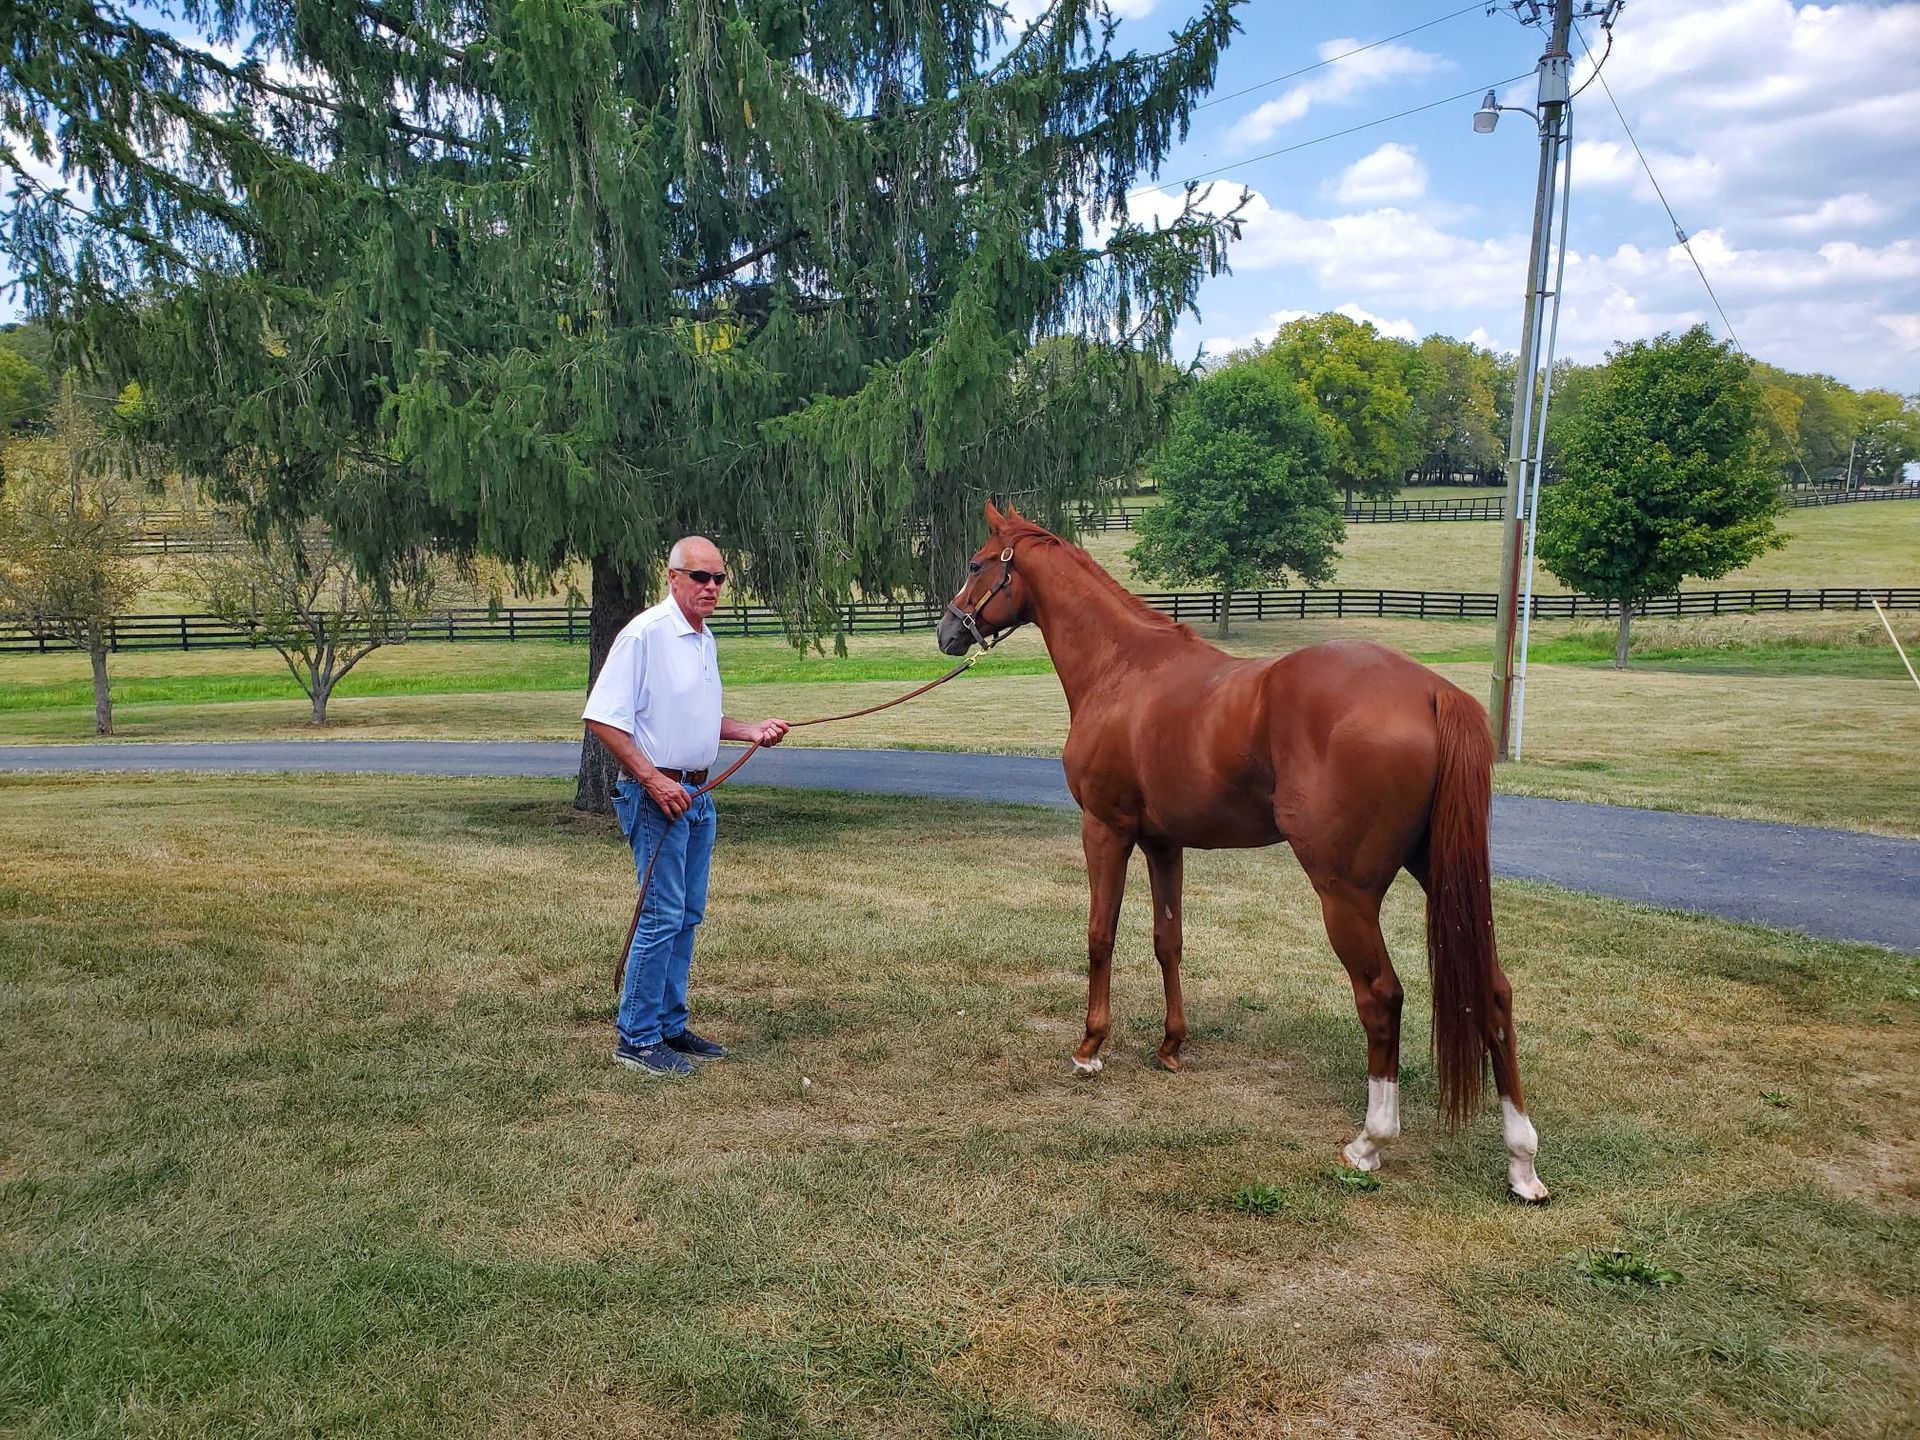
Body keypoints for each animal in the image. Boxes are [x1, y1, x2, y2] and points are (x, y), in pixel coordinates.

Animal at [935, 501, 1547, 1202]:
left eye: (976, 564)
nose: (947, 632)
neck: (1123, 669)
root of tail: (1429, 691)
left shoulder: (1106, 829)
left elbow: (1100, 934)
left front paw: (1090, 1048)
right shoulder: (1163, 842)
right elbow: (1168, 940)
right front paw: (1171, 1048)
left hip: (1345, 893)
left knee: (1381, 995)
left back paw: (1370, 1142)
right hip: (1443, 876)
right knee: (1493, 992)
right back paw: (1522, 1162)